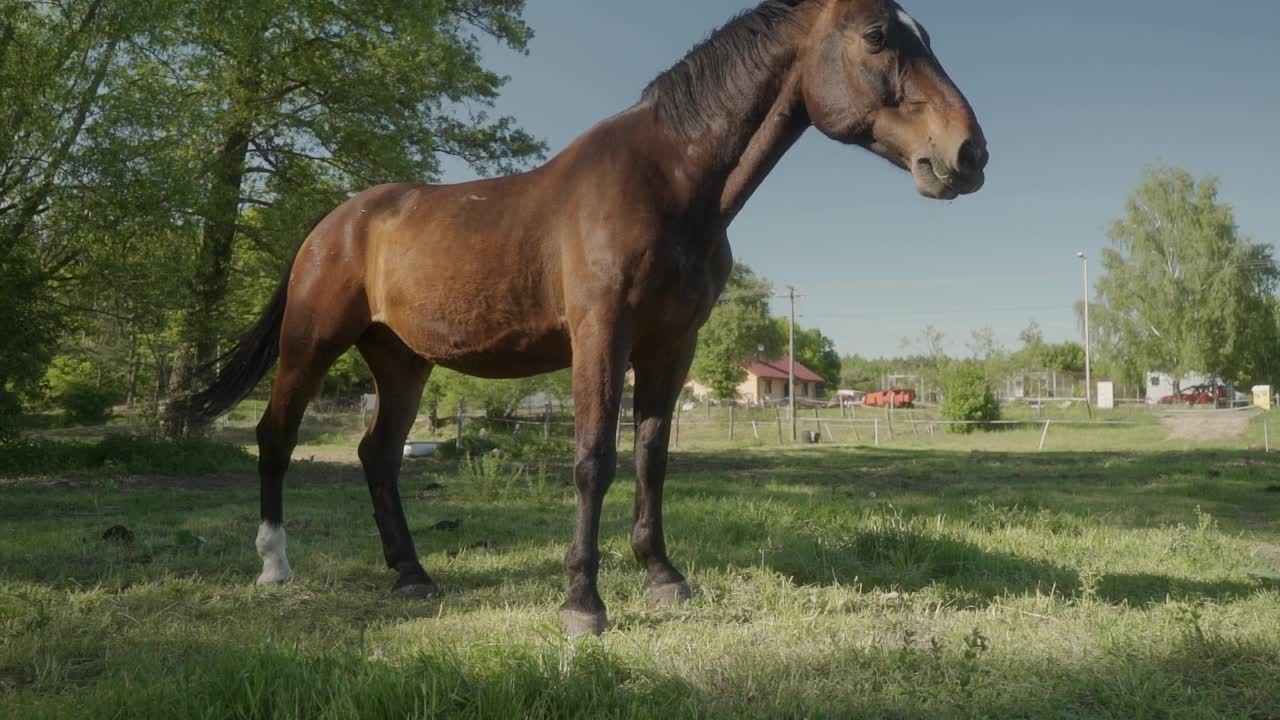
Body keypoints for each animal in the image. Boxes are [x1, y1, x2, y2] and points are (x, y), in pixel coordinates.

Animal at [175, 0, 983, 632]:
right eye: (877, 35)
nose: (968, 153)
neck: (668, 182)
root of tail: (332, 223)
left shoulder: (671, 344)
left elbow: (652, 457)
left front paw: (664, 580)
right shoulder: (601, 333)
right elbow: (594, 458)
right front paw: (582, 604)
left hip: (401, 361)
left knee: (378, 455)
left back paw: (412, 575)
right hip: (311, 343)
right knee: (275, 436)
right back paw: (274, 566)